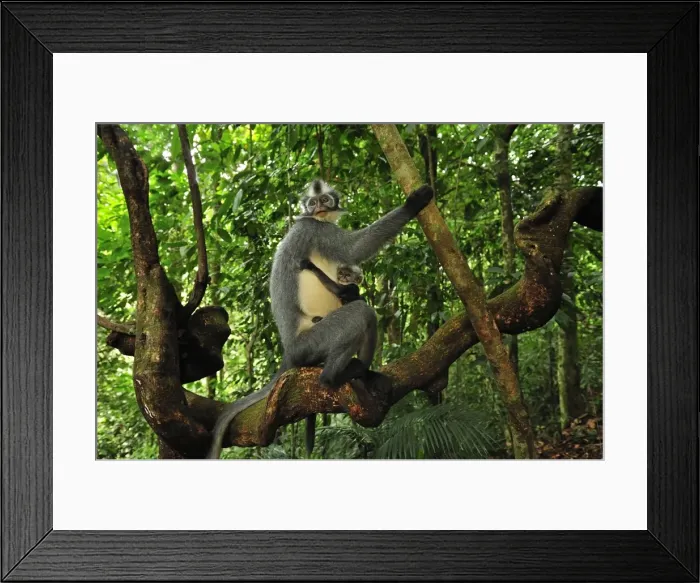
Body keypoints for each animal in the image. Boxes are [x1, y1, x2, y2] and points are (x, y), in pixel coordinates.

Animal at [207, 179, 433, 459]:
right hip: (311, 342)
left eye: (324, 200)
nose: (319, 209)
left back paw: (364, 374)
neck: (315, 219)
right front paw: (413, 203)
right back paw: (334, 377)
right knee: (363, 313)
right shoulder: (314, 229)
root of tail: (289, 351)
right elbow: (354, 249)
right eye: (313, 203)